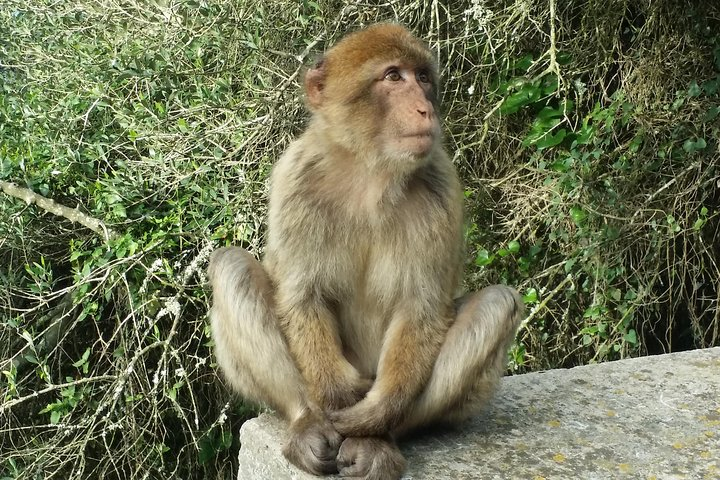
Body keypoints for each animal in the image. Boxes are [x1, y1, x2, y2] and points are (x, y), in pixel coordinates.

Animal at [208, 23, 523, 480]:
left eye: (422, 77)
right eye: (393, 77)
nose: (425, 110)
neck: (370, 172)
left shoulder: (442, 188)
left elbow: (421, 309)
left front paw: (374, 416)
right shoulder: (295, 181)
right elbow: (303, 296)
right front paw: (336, 394)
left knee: (498, 303)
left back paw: (375, 435)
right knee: (230, 265)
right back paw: (308, 421)